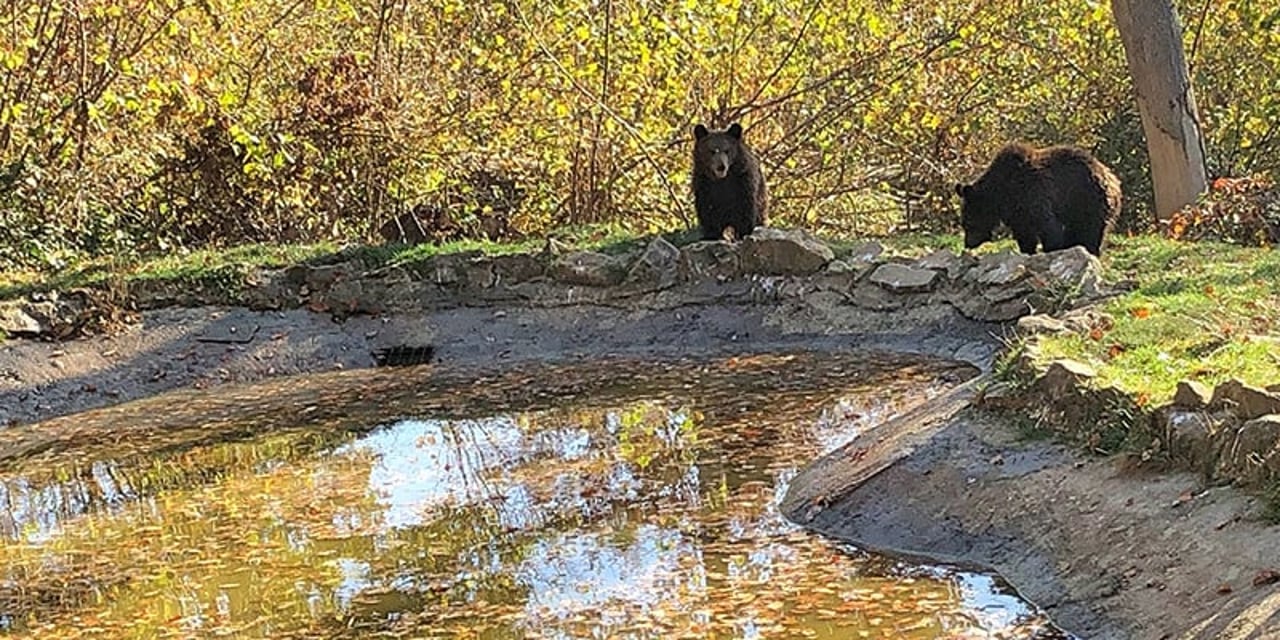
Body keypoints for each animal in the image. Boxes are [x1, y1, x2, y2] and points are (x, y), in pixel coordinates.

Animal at [957, 143, 1126, 257]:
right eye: (964, 223)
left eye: (968, 222)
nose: (968, 243)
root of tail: (1112, 178)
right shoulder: (1017, 212)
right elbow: (1025, 235)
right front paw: (1028, 251)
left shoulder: (1034, 194)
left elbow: (1049, 227)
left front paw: (1051, 249)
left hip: (1090, 201)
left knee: (1092, 232)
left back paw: (1091, 251)